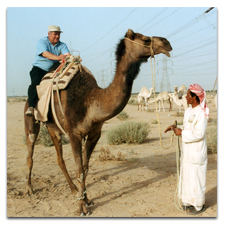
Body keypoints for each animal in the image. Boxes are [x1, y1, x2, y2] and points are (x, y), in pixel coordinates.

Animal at [23, 29, 171, 215]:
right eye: (145, 39)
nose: (167, 43)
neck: (90, 100)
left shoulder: (94, 133)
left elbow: (85, 168)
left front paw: (86, 199)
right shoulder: (74, 133)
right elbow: (79, 169)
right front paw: (81, 207)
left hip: (53, 128)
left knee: (59, 158)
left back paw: (72, 189)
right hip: (32, 121)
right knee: (31, 151)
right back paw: (29, 189)